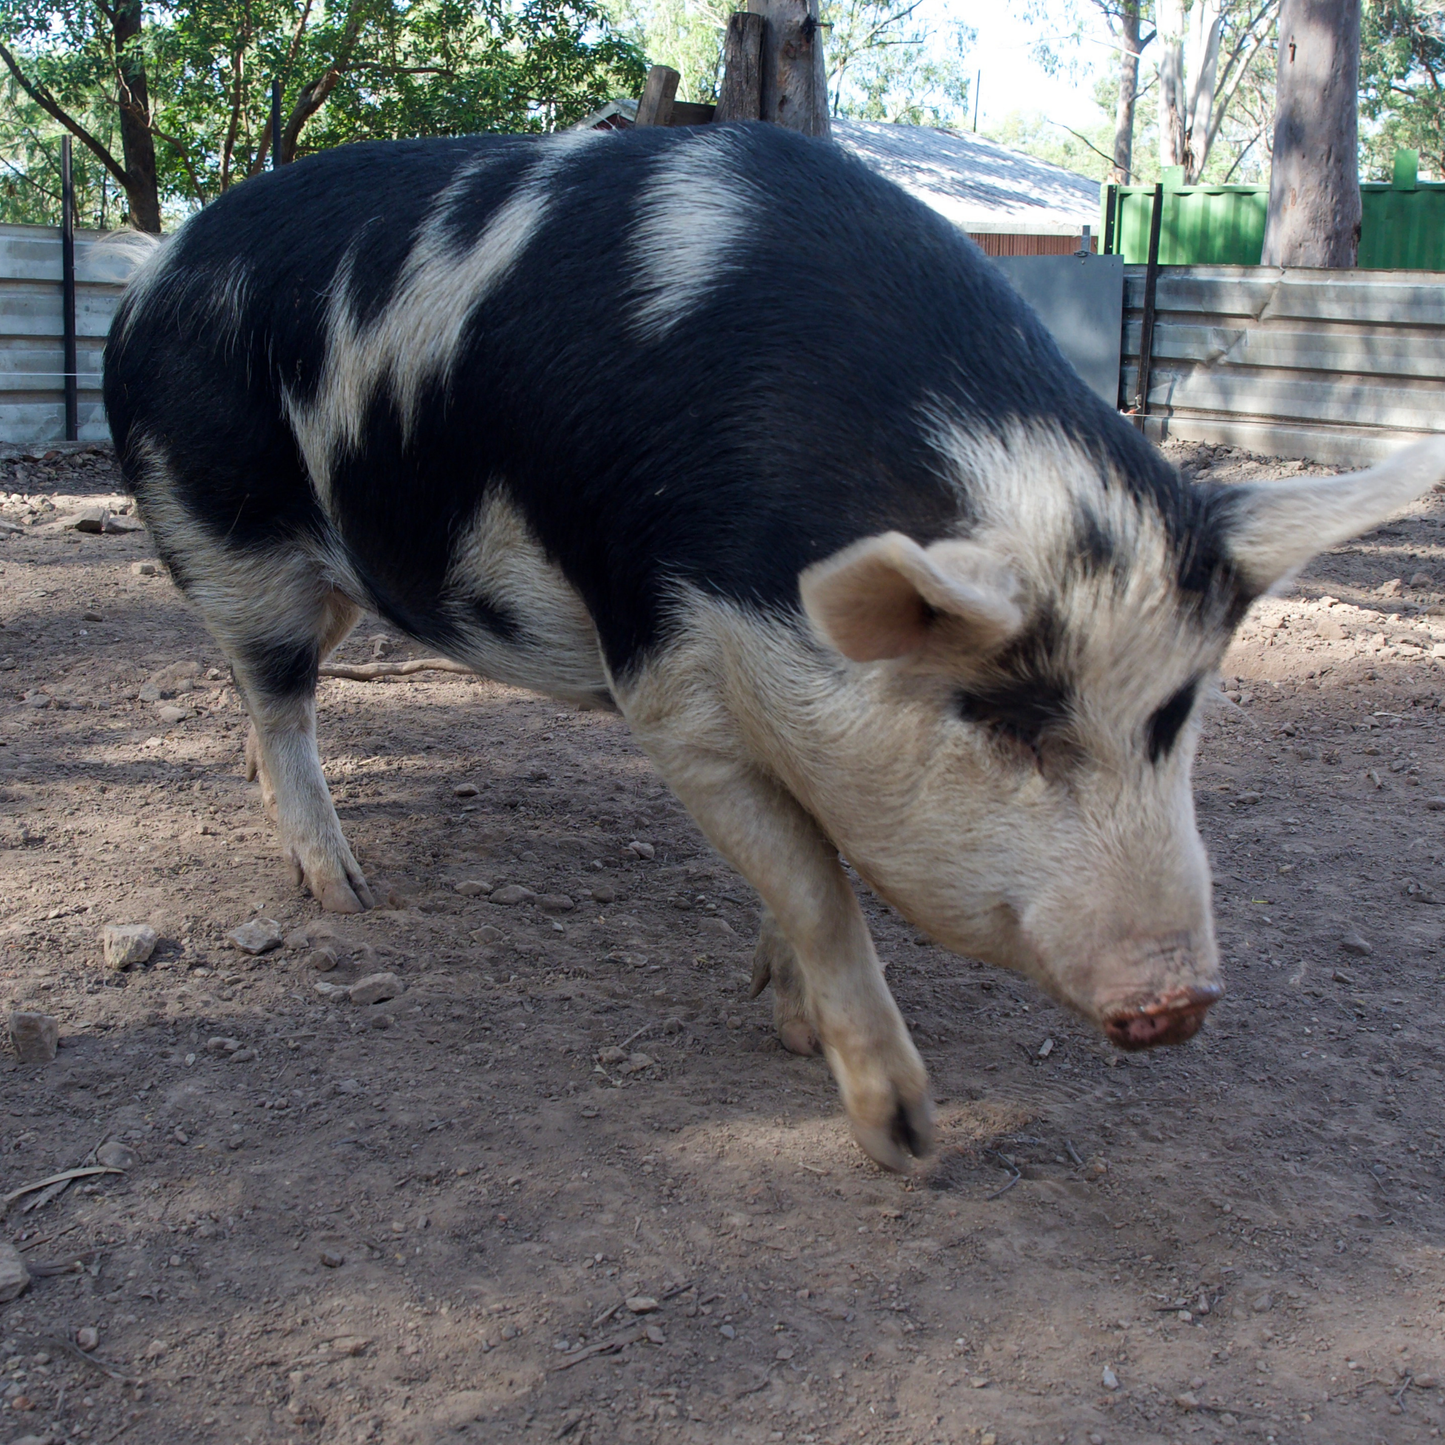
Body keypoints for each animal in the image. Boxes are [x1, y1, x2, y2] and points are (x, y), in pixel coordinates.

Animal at [103, 122, 1445, 1171]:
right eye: (1006, 720)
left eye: (1176, 717)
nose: (1178, 999)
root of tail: (151, 271)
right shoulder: (663, 676)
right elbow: (811, 878)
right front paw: (905, 1136)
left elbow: (805, 854)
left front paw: (784, 1012)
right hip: (228, 534)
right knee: (277, 696)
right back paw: (344, 892)